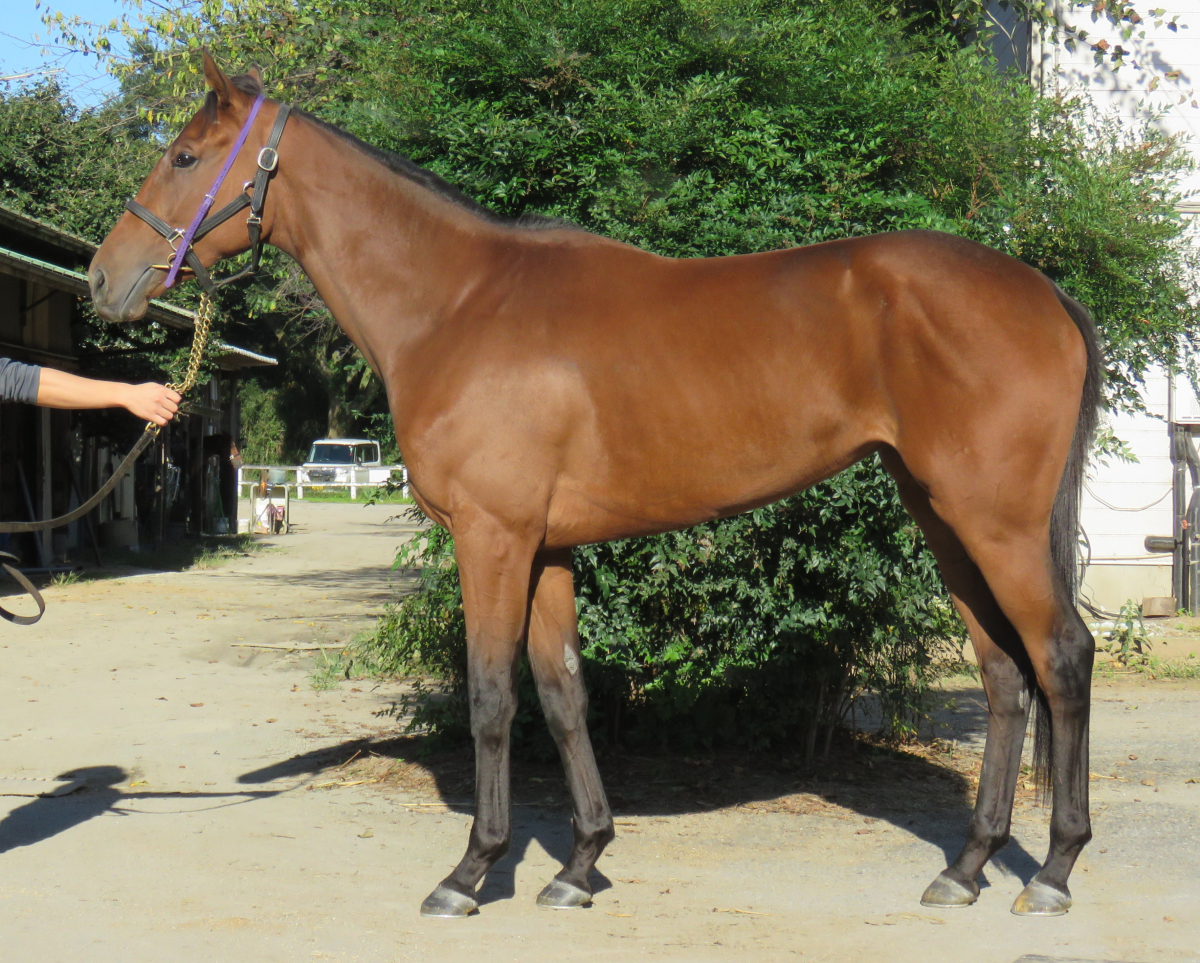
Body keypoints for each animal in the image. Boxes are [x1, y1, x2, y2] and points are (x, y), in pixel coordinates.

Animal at [90, 54, 1102, 920]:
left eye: (185, 156)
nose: (105, 277)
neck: (457, 303)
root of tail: (1044, 294)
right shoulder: (549, 547)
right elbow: (564, 690)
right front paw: (579, 863)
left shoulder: (491, 536)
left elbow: (491, 696)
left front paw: (471, 870)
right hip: (944, 520)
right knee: (1004, 673)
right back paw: (966, 867)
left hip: (995, 525)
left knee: (1061, 657)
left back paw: (1051, 871)